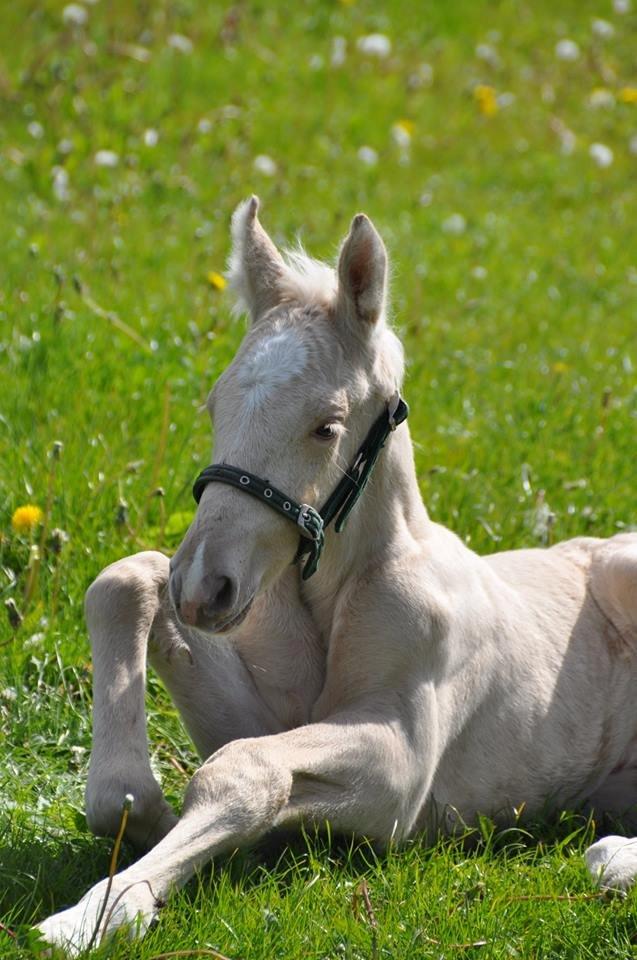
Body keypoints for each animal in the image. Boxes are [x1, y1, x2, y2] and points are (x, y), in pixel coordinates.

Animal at [38, 197, 636, 952]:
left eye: (326, 425)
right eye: (215, 404)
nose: (204, 588)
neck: (330, 594)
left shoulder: (400, 774)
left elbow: (245, 767)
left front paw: (96, 913)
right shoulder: (266, 710)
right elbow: (127, 576)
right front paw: (137, 809)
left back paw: (611, 858)